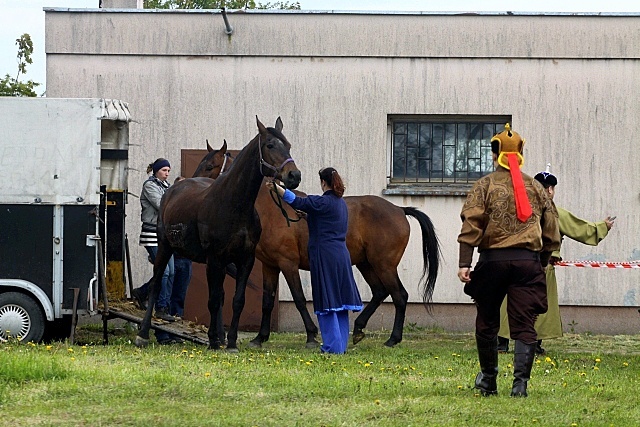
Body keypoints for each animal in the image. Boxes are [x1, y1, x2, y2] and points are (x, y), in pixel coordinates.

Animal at [135, 117, 300, 352]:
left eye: (288, 145)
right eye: (269, 145)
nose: (294, 176)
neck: (235, 205)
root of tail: (172, 189)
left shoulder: (245, 259)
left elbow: (236, 300)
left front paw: (229, 341)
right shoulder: (215, 258)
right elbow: (213, 300)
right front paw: (214, 340)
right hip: (166, 249)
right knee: (157, 284)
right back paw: (143, 334)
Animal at [198, 143, 442, 348]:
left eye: (209, 166)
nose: (196, 185)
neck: (273, 209)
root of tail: (399, 210)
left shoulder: (288, 264)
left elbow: (298, 299)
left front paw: (311, 335)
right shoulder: (270, 265)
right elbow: (267, 301)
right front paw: (260, 337)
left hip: (384, 265)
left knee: (400, 296)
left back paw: (393, 338)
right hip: (366, 264)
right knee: (380, 292)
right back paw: (359, 329)